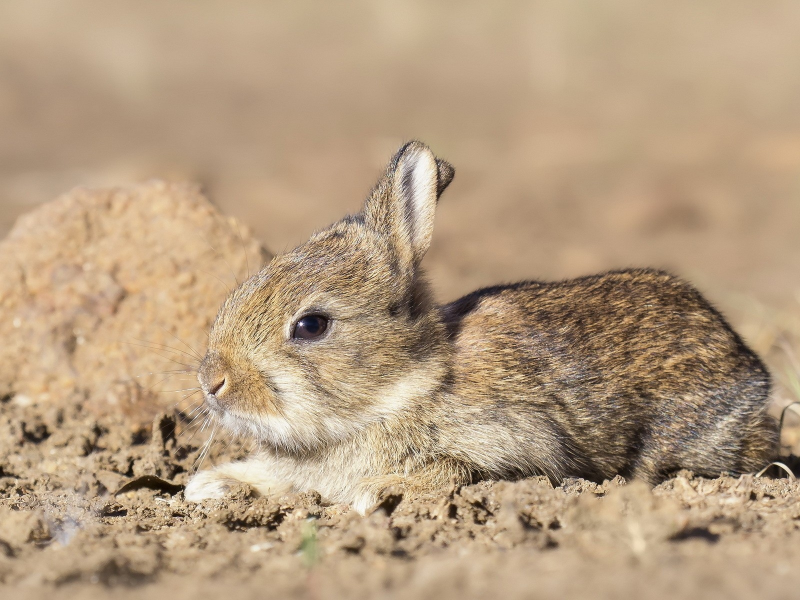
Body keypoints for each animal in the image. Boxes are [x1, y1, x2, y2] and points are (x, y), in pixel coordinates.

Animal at [184, 139, 780, 510]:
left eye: (311, 325)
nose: (212, 381)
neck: (408, 386)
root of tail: (752, 370)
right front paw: (206, 486)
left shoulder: (514, 447)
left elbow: (454, 470)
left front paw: (376, 493)